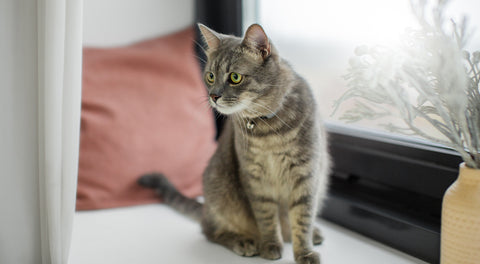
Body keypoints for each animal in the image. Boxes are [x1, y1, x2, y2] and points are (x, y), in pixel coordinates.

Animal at [140, 23, 330, 262]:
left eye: (235, 77)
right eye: (211, 76)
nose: (213, 96)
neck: (268, 130)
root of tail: (206, 209)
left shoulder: (306, 174)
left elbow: (302, 219)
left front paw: (305, 252)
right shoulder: (254, 177)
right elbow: (266, 217)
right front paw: (271, 244)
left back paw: (312, 233)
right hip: (219, 190)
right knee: (210, 230)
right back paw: (243, 241)